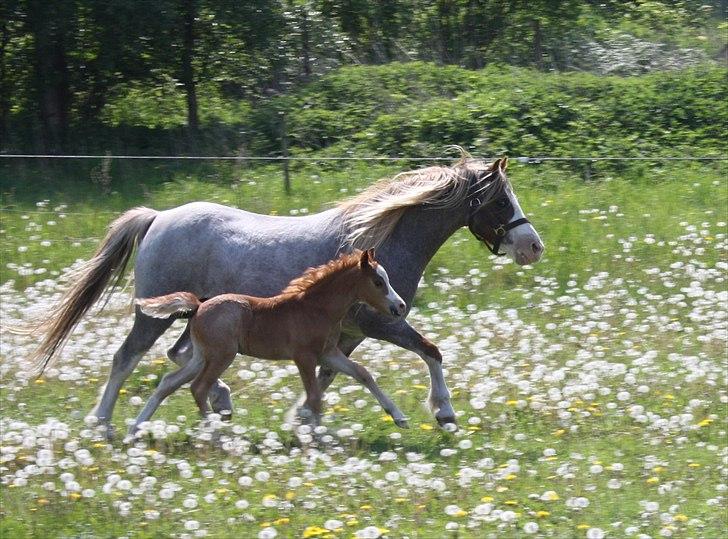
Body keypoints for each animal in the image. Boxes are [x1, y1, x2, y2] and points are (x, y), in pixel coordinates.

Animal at [128, 251, 406, 436]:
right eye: (378, 282)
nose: (400, 306)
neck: (317, 308)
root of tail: (198, 307)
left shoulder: (328, 353)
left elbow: (362, 373)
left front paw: (399, 417)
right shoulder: (304, 357)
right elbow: (315, 396)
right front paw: (316, 438)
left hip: (201, 356)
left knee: (169, 383)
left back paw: (135, 430)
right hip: (221, 355)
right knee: (198, 388)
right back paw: (214, 433)